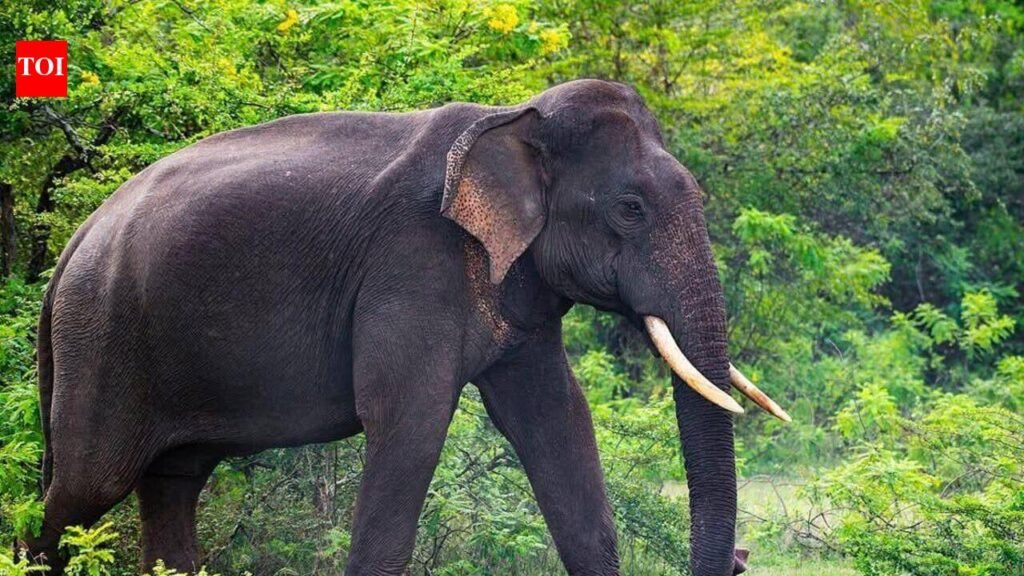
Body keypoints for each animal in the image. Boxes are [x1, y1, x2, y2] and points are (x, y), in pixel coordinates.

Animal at [19, 79, 789, 576]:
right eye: (630, 208)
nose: (742, 558)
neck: (513, 118)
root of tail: (71, 247)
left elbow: (557, 419)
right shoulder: (414, 264)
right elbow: (410, 421)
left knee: (172, 483)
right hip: (103, 338)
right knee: (87, 488)